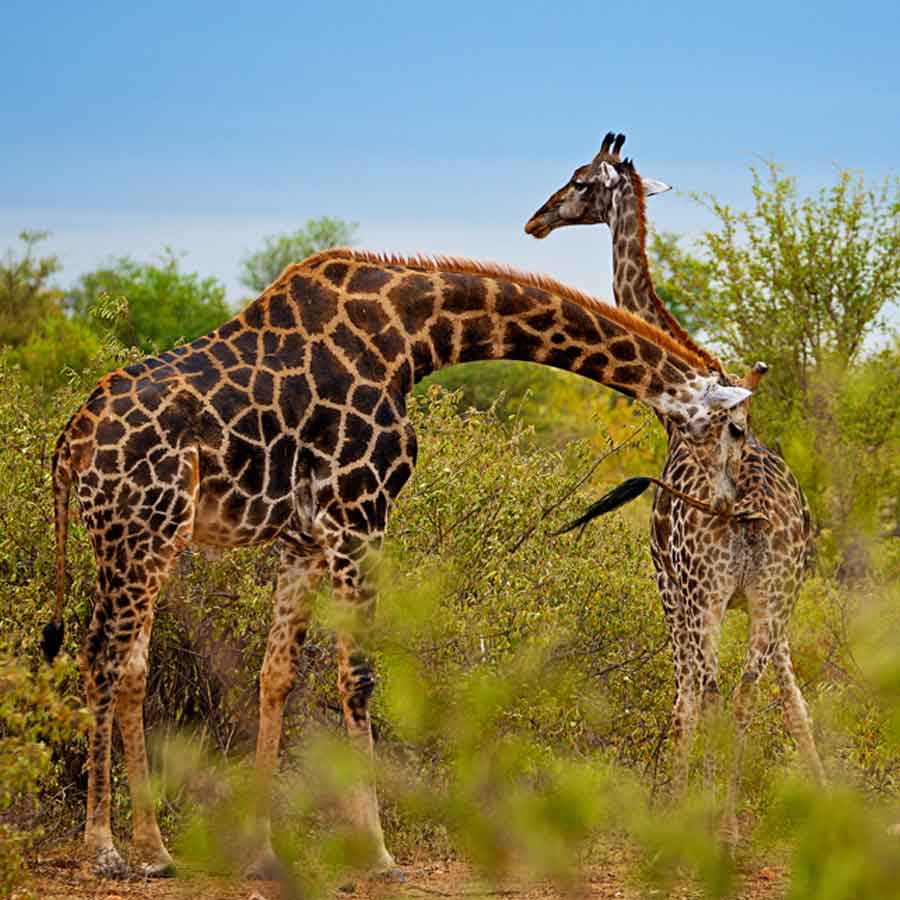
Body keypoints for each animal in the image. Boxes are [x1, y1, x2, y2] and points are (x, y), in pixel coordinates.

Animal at [42, 248, 754, 878]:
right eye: (739, 429)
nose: (732, 504)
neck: (416, 336)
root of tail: (70, 443)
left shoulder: (304, 536)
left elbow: (276, 675)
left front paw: (261, 851)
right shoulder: (360, 510)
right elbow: (357, 678)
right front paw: (378, 855)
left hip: (147, 538)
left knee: (131, 664)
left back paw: (155, 851)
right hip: (138, 530)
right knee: (102, 654)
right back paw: (103, 850)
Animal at [525, 133, 825, 842]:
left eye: (580, 181)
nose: (537, 219)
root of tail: (750, 509)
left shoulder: (669, 585)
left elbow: (687, 694)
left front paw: (677, 806)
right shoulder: (774, 610)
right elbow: (795, 700)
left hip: (704, 595)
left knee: (712, 690)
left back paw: (718, 825)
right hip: (770, 596)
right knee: (746, 693)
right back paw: (738, 822)